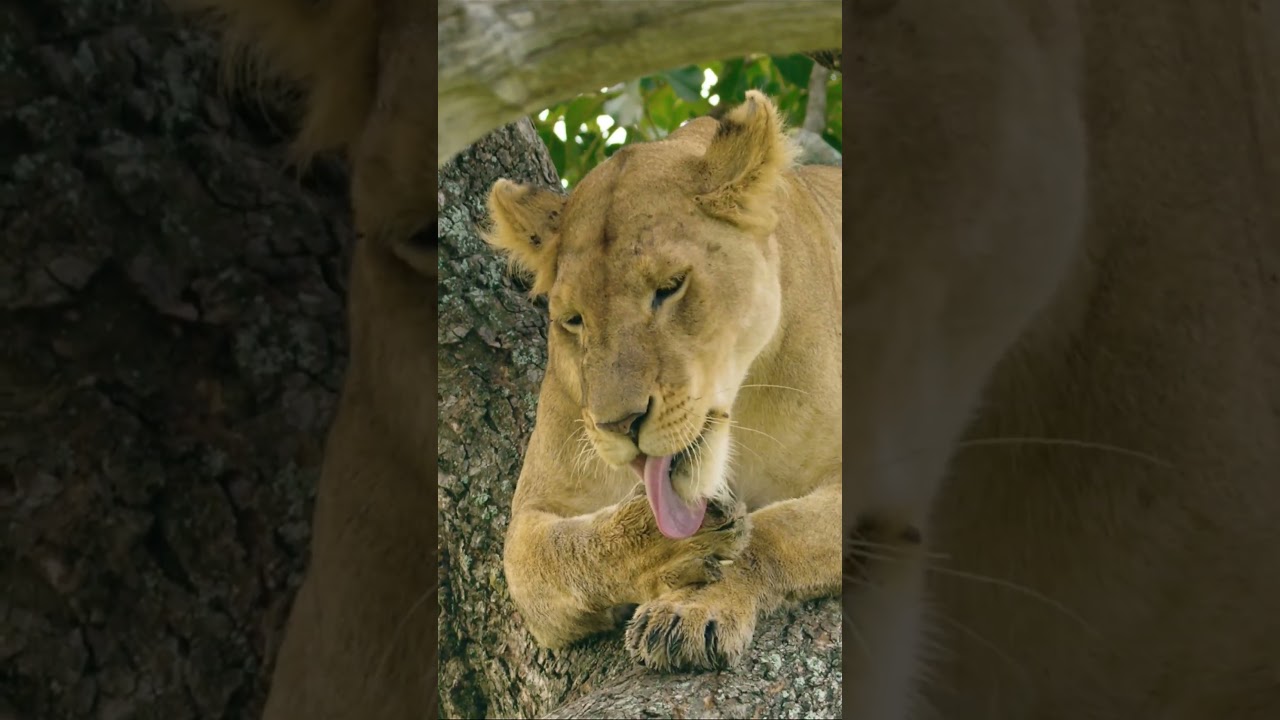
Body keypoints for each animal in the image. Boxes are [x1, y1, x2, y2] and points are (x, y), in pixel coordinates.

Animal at [483, 91, 843, 670]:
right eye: (574, 320)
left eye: (670, 287)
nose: (619, 424)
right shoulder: (532, 516)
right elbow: (565, 553)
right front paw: (668, 549)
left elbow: (772, 532)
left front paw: (694, 608)